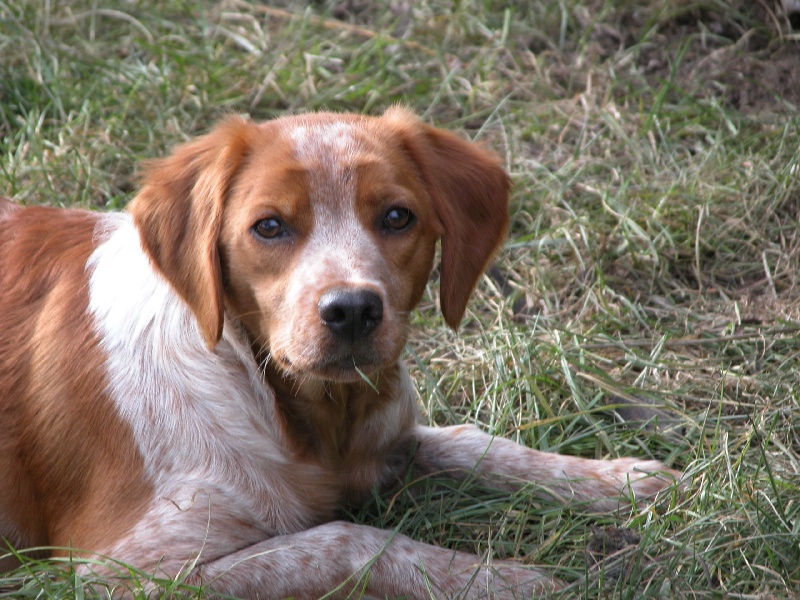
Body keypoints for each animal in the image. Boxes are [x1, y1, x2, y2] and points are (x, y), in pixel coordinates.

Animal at [0, 109, 680, 600]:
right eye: (269, 227)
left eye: (398, 217)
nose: (351, 309)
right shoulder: (126, 573)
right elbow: (346, 539)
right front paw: (494, 578)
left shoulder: (389, 434)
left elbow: (475, 442)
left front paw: (617, 480)